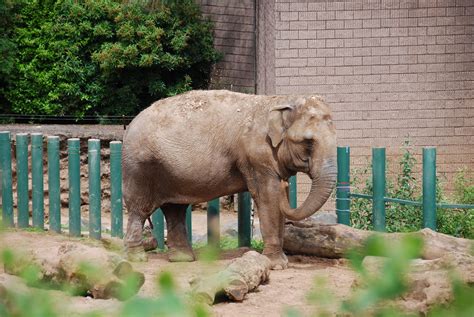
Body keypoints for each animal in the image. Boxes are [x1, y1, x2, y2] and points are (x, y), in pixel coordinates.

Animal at [122, 89, 336, 270]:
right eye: (308, 142)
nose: (285, 183)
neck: (278, 101)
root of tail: (129, 125)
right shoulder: (257, 157)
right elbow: (268, 195)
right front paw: (277, 265)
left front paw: (280, 261)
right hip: (140, 168)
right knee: (139, 209)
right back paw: (137, 258)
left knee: (175, 209)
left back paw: (183, 259)